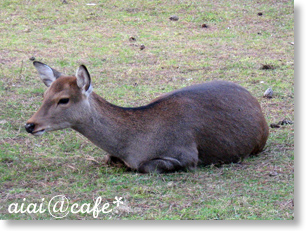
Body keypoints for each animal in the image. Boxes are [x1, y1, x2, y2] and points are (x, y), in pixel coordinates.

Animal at [25, 61, 270, 173]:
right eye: (45, 94)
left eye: (63, 99)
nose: (30, 125)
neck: (132, 144)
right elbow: (109, 158)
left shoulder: (187, 154)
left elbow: (147, 166)